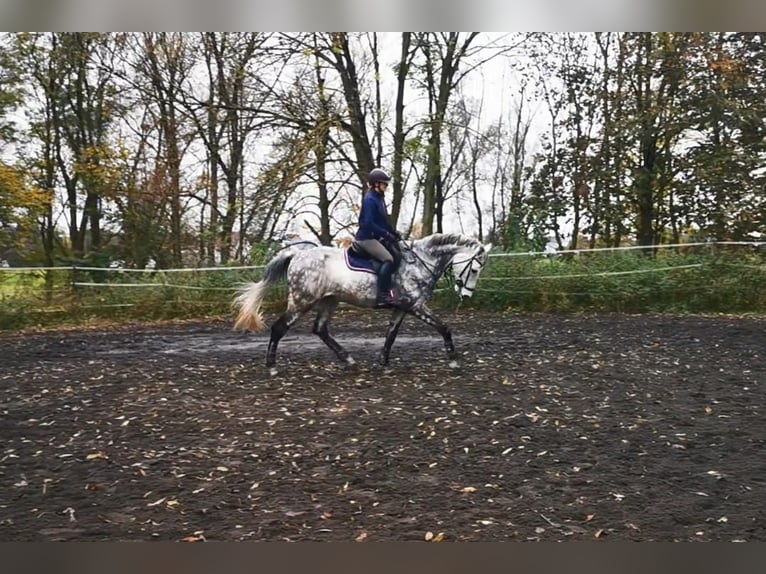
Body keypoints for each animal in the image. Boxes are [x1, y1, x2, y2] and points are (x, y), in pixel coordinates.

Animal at [232, 232, 492, 376]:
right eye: (475, 269)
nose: (466, 296)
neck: (420, 262)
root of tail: (296, 255)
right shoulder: (416, 306)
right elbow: (443, 328)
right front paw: (454, 360)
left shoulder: (402, 308)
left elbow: (391, 335)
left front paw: (383, 363)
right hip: (302, 300)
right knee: (279, 328)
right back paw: (272, 366)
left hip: (329, 301)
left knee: (320, 329)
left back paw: (348, 360)